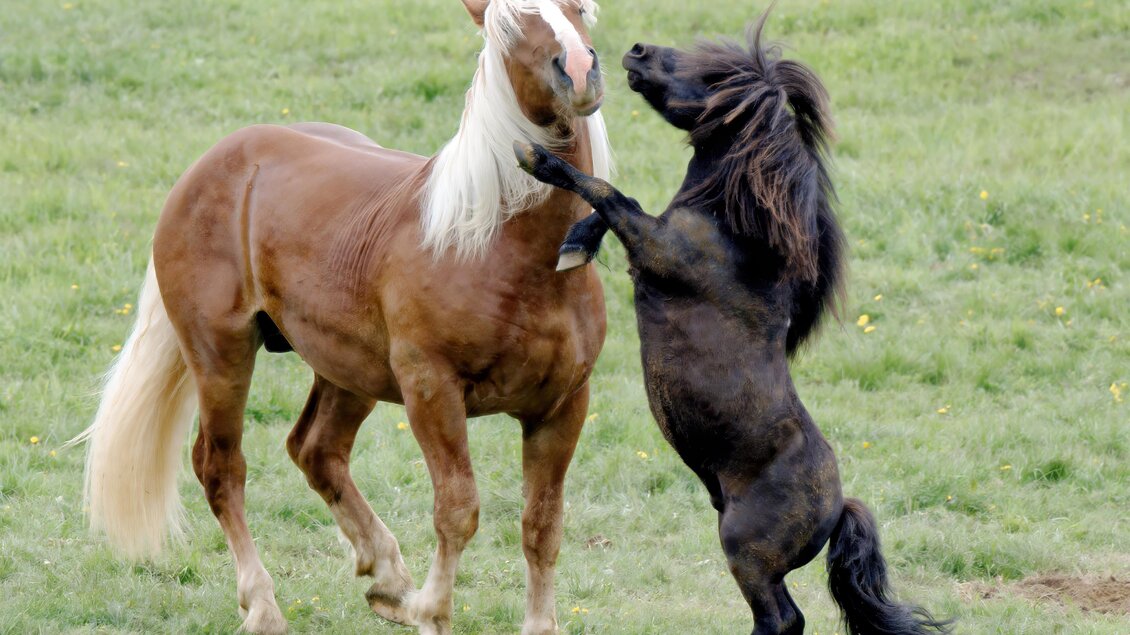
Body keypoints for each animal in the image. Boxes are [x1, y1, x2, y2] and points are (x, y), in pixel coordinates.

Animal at [72, 1, 612, 633]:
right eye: (510, 27)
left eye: (580, 10)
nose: (578, 69)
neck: (505, 249)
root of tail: (211, 164)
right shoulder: (431, 390)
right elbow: (458, 511)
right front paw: (432, 612)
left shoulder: (563, 406)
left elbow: (542, 526)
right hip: (221, 355)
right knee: (221, 467)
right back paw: (264, 604)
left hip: (348, 371)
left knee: (316, 450)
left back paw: (388, 580)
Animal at [515, 15, 951, 635]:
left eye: (715, 77)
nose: (637, 51)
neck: (732, 231)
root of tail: (836, 507)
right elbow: (612, 205)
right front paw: (575, 244)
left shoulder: (656, 248)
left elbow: (610, 194)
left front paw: (535, 158)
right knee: (788, 616)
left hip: (745, 552)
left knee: (780, 620)